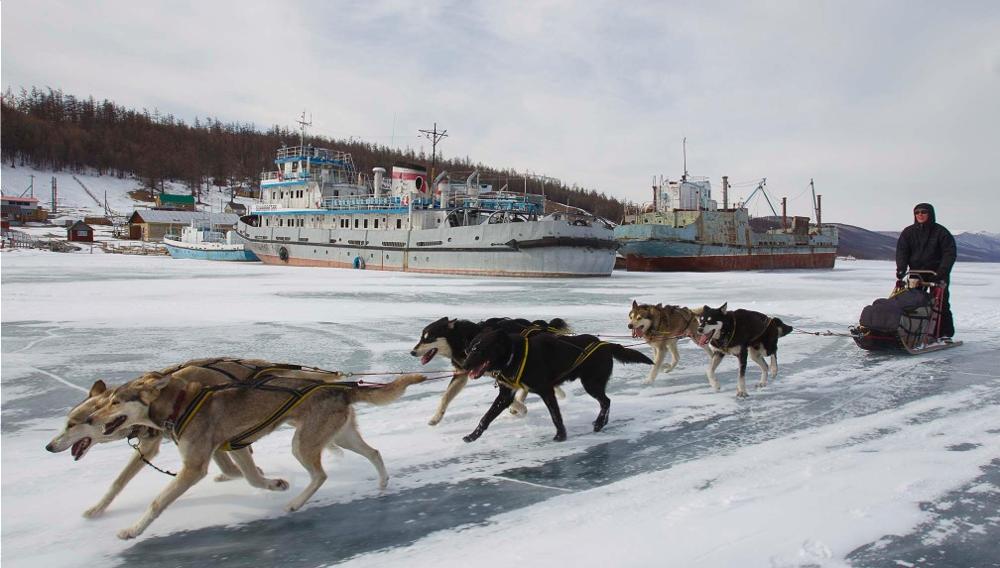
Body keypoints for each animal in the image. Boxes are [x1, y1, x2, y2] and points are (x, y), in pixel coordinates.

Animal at [47, 358, 426, 540]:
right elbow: (250, 475)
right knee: (374, 453)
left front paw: (131, 531)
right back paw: (381, 482)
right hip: (340, 435)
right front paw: (273, 482)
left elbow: (157, 502)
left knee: (320, 474)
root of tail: (342, 387)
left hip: (302, 444)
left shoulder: (194, 467)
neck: (180, 403)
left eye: (114, 402)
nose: (49, 446)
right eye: (101, 404)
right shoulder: (239, 445)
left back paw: (295, 503)